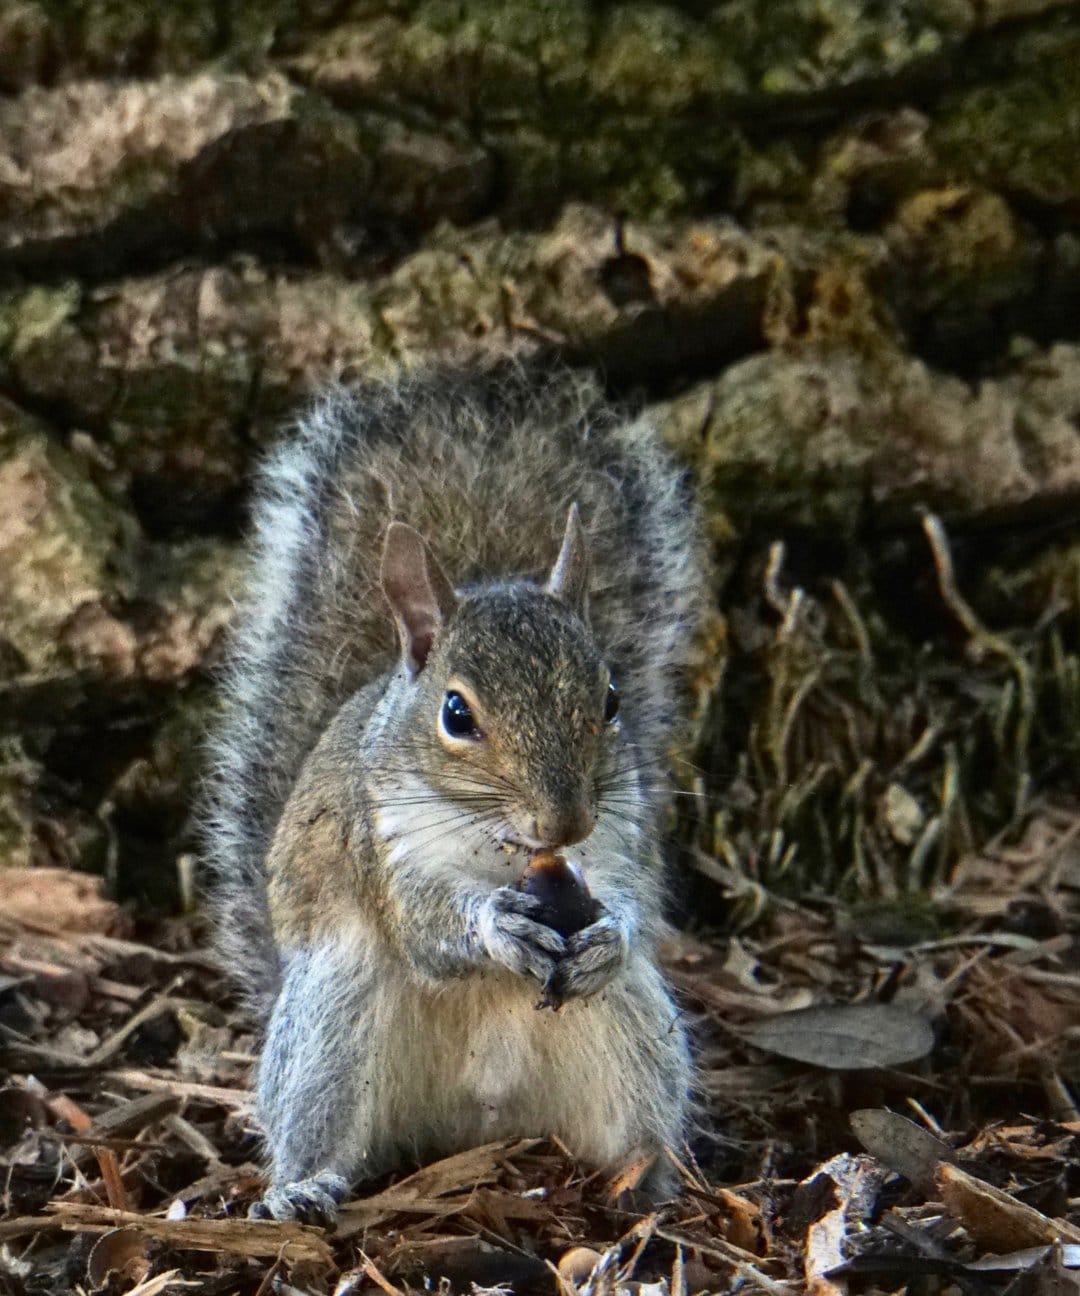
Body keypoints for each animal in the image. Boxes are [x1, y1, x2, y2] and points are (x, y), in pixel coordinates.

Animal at [203, 360, 709, 1224]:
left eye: (611, 698)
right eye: (456, 714)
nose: (565, 821)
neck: (502, 849)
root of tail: (479, 1124)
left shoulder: (620, 838)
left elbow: (636, 901)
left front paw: (609, 933)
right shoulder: (379, 841)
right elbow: (425, 929)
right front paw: (497, 928)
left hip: (638, 1031)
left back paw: (645, 1189)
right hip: (332, 1019)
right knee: (317, 1118)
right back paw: (303, 1186)